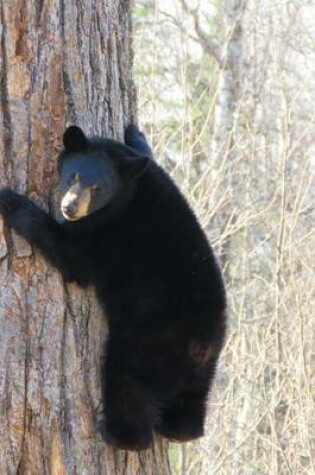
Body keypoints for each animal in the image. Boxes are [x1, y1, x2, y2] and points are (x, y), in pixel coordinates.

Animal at [0, 124, 227, 452]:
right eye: (74, 176)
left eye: (98, 189)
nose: (70, 208)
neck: (129, 193)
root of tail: (201, 344)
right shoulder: (149, 172)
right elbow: (145, 154)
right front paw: (135, 132)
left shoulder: (111, 233)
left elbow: (73, 257)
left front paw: (11, 200)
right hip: (205, 370)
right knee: (191, 403)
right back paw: (180, 431)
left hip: (145, 342)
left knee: (128, 385)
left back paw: (118, 434)